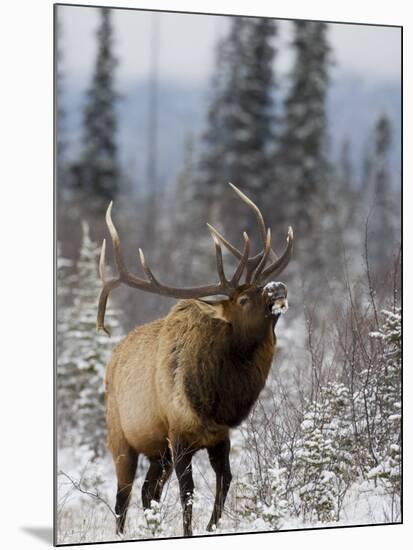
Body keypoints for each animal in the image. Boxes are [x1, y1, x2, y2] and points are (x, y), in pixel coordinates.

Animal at [96, 183, 292, 536]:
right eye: (243, 299)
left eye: (260, 286)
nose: (278, 287)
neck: (218, 399)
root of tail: (112, 359)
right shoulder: (179, 436)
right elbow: (188, 493)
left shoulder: (219, 436)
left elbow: (225, 482)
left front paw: (213, 526)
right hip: (121, 439)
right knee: (123, 498)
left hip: (158, 452)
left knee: (148, 491)